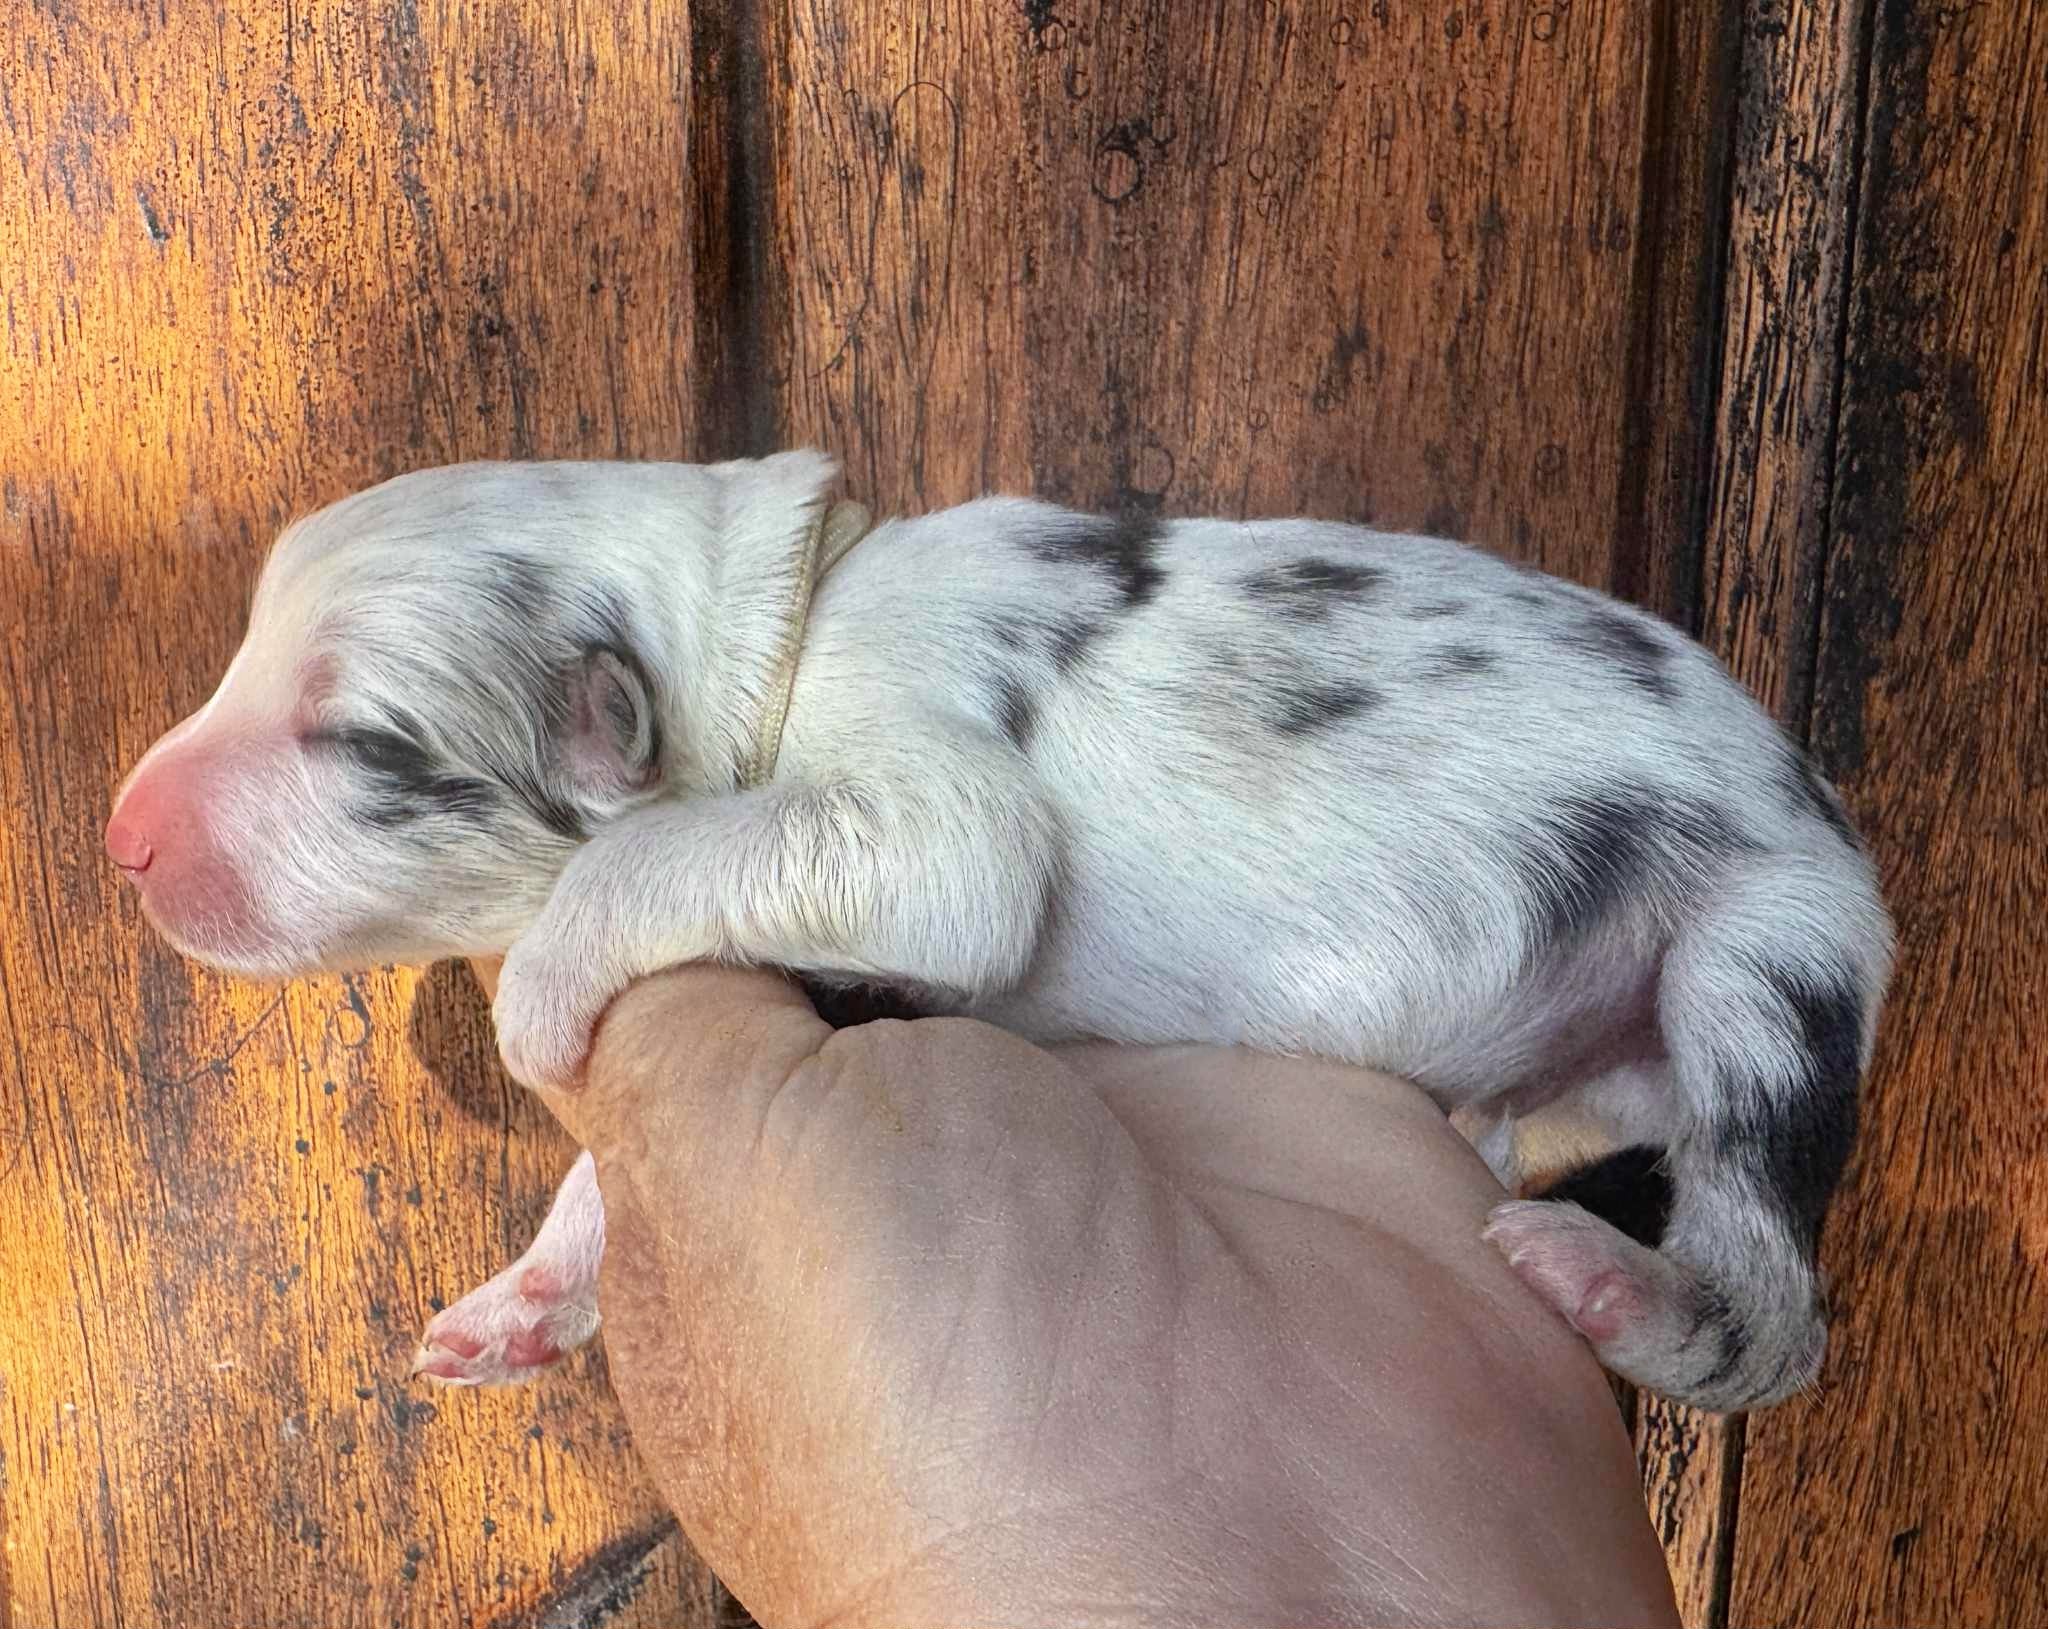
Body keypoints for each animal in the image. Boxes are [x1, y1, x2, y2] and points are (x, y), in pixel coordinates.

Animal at [106, 451, 1892, 1412]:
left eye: (360, 740)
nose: (118, 837)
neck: (784, 627)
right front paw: (525, 1298)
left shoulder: (928, 816)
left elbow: (680, 859)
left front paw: (538, 1000)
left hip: (1767, 954)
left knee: (1778, 1300)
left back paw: (1615, 1287)